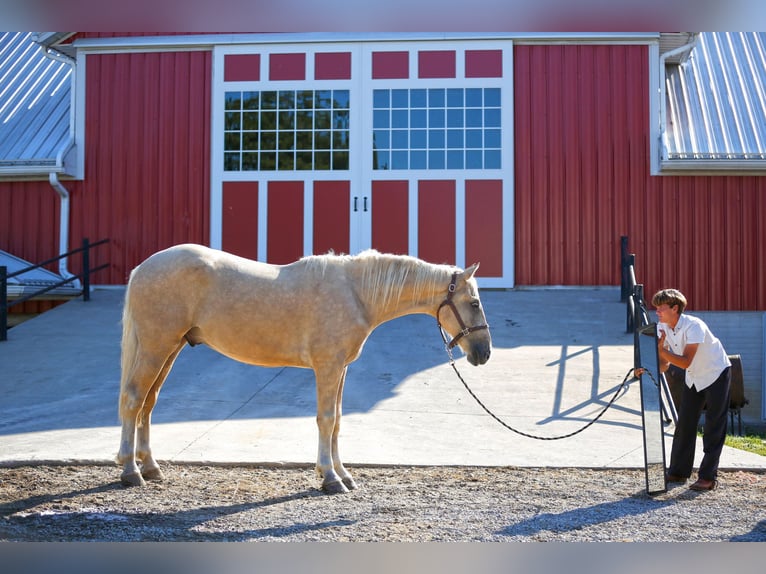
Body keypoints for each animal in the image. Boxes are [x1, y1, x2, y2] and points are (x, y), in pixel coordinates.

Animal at [118, 244, 496, 496]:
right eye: (474, 303)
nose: (484, 353)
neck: (357, 294)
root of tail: (142, 268)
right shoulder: (327, 367)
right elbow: (326, 419)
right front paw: (330, 478)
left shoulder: (340, 368)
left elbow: (338, 421)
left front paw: (344, 474)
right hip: (156, 347)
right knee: (134, 400)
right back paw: (131, 471)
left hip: (170, 349)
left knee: (148, 404)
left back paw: (150, 467)